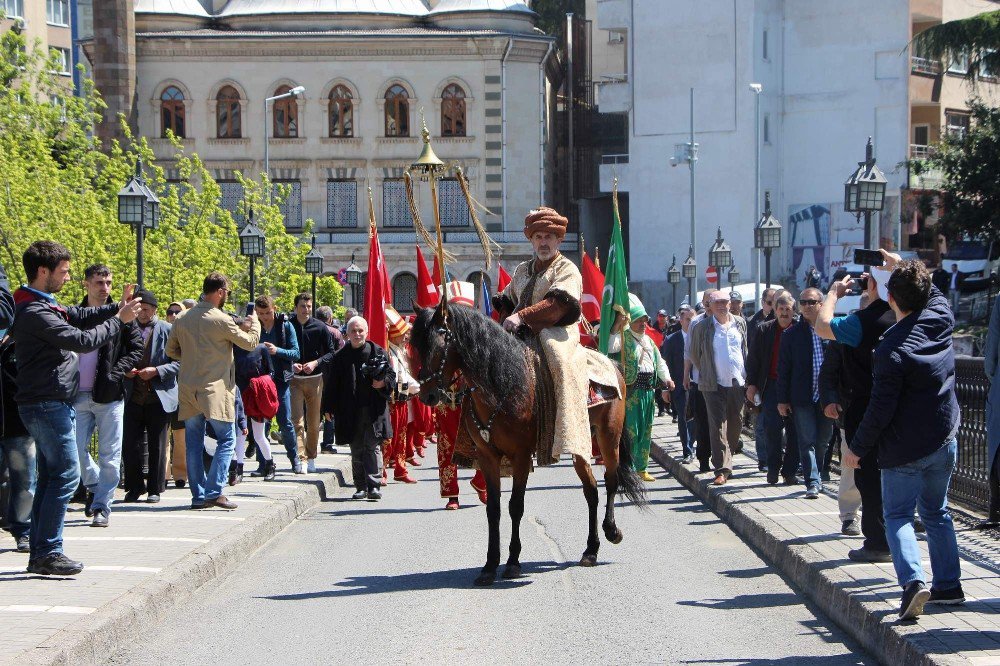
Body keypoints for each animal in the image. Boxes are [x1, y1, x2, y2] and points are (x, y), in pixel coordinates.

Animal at [410, 304, 644, 584]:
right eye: (417, 346)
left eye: (439, 343)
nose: (428, 395)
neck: (504, 384)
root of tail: (612, 363)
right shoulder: (488, 457)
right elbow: (494, 509)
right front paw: (489, 565)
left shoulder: (520, 456)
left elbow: (515, 506)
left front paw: (512, 562)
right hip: (578, 441)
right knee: (591, 490)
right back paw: (590, 550)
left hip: (608, 435)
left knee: (610, 480)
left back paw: (611, 531)